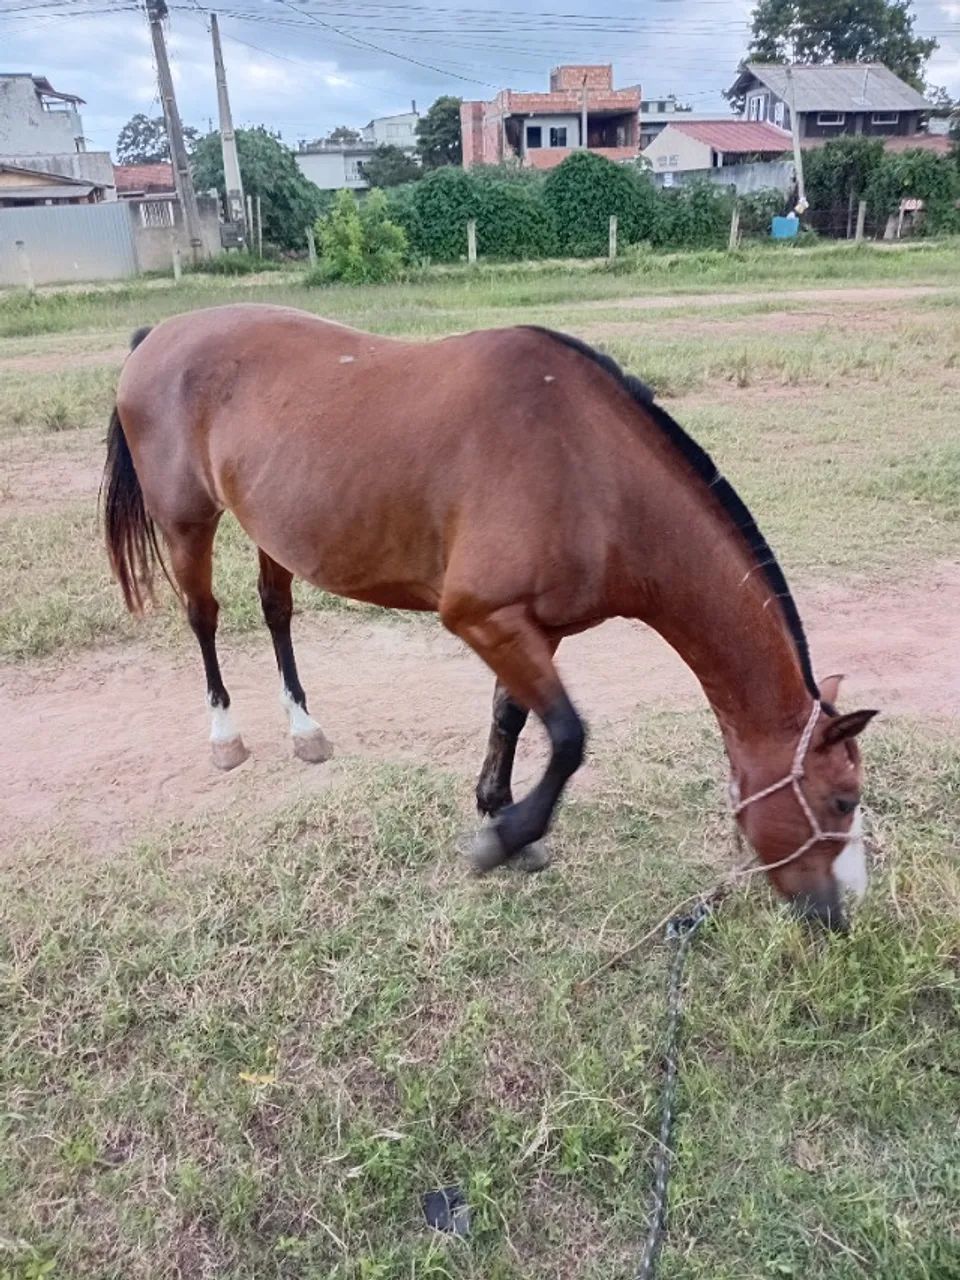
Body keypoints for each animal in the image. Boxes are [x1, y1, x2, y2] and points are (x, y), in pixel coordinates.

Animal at [102, 303, 877, 930]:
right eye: (842, 801)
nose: (841, 913)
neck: (589, 471)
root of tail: (158, 334)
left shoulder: (540, 629)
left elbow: (512, 717)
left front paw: (499, 810)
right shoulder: (481, 618)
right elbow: (568, 736)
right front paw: (506, 837)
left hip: (272, 529)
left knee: (276, 610)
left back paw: (304, 727)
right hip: (187, 522)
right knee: (204, 618)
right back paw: (225, 734)